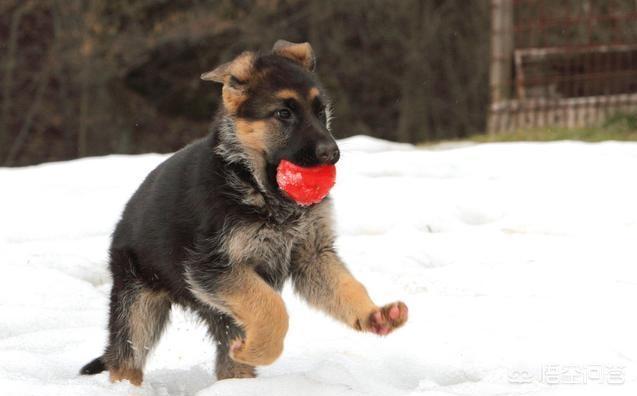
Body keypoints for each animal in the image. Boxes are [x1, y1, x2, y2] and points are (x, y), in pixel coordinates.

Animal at [79, 41, 408, 386]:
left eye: (320, 111)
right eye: (283, 113)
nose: (332, 154)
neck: (257, 185)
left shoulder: (312, 255)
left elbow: (346, 286)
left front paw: (375, 315)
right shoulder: (213, 267)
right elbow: (274, 307)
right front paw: (258, 349)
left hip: (224, 311)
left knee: (227, 355)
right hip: (138, 304)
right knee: (125, 357)